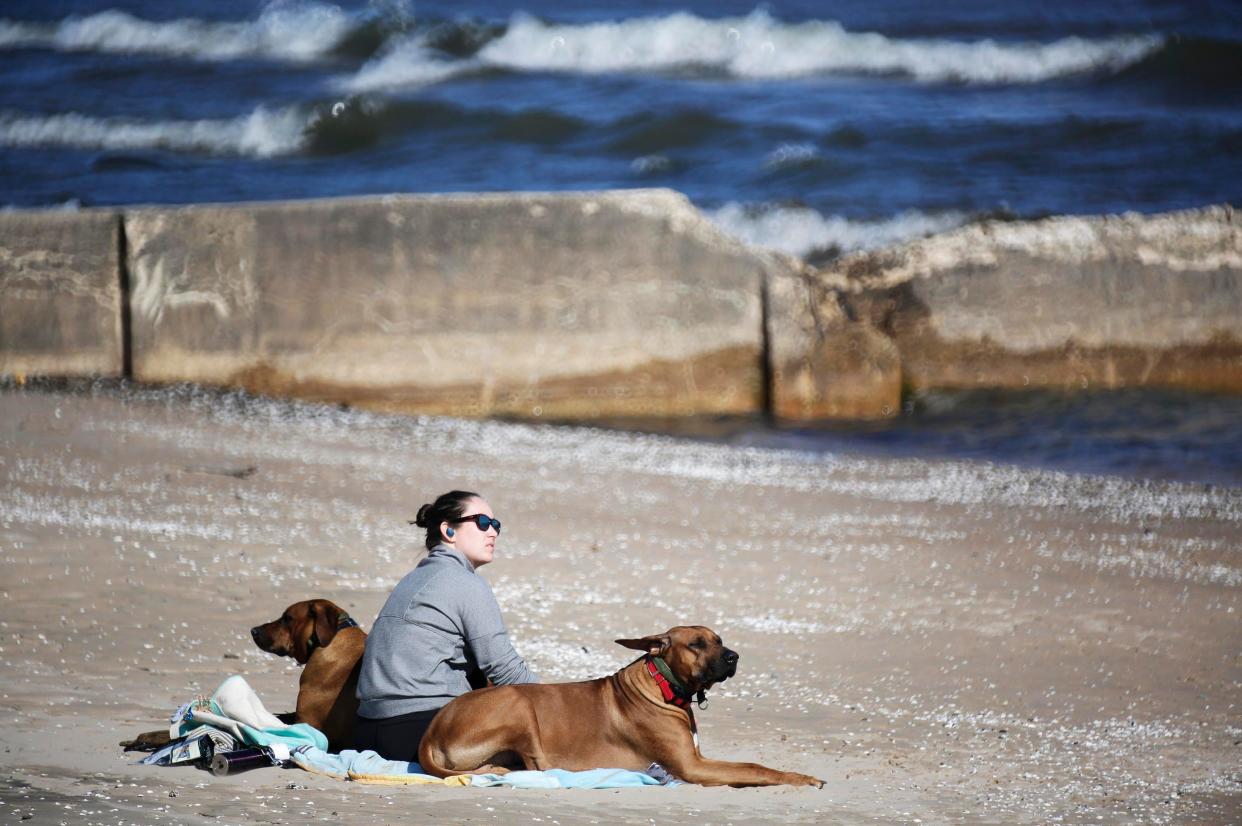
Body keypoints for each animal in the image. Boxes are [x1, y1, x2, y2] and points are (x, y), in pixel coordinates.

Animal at [417, 626, 824, 785]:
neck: (663, 684)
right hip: (518, 704)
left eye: (719, 640)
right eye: (696, 644)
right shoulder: (691, 767)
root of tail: (431, 731)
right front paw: (802, 778)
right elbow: (754, 767)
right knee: (538, 764)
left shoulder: (697, 758)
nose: (734, 657)